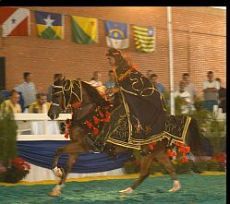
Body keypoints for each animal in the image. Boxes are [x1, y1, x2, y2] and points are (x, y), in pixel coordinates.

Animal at [47, 79, 212, 197]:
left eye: (57, 95)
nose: (51, 114)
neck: (88, 113)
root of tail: (166, 121)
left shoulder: (84, 145)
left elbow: (58, 150)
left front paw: (56, 171)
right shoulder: (76, 146)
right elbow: (68, 166)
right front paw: (57, 187)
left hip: (147, 152)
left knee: (145, 172)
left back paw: (127, 191)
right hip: (154, 152)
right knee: (169, 168)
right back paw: (174, 188)